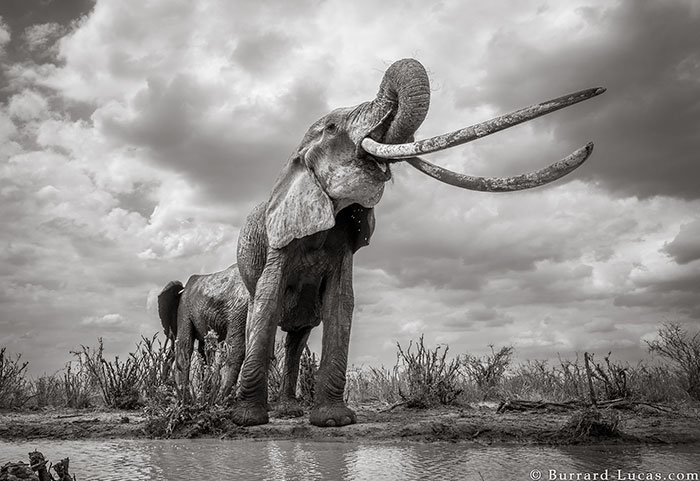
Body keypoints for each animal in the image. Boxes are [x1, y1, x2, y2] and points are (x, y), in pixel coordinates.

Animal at [232, 58, 605, 427]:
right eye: (333, 127)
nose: (599, 90)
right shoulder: (277, 237)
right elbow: (268, 300)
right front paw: (247, 420)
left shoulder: (344, 239)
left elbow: (341, 302)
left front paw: (335, 421)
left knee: (298, 337)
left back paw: (288, 411)